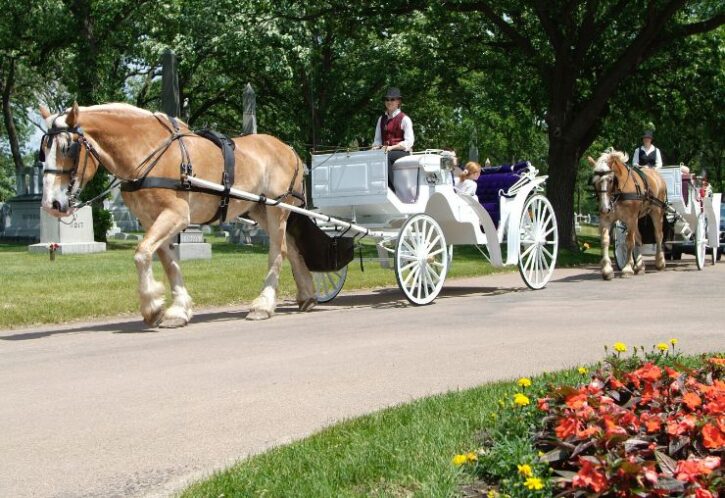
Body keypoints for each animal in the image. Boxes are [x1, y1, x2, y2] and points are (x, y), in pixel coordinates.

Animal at [40, 102, 316, 326]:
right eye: (43, 150)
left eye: (67, 148)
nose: (51, 203)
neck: (148, 152)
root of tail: (289, 149)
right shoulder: (151, 219)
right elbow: (167, 261)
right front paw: (178, 309)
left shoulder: (176, 215)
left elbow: (142, 253)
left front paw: (152, 307)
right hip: (259, 210)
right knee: (292, 247)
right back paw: (307, 295)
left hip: (277, 208)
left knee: (278, 251)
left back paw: (264, 304)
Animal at [588, 148, 668, 280]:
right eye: (594, 182)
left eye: (610, 180)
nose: (604, 208)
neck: (618, 192)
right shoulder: (606, 218)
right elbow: (605, 241)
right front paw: (607, 270)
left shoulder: (631, 219)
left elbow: (629, 241)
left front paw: (627, 268)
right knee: (639, 239)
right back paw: (640, 266)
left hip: (656, 212)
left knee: (658, 236)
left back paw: (660, 262)